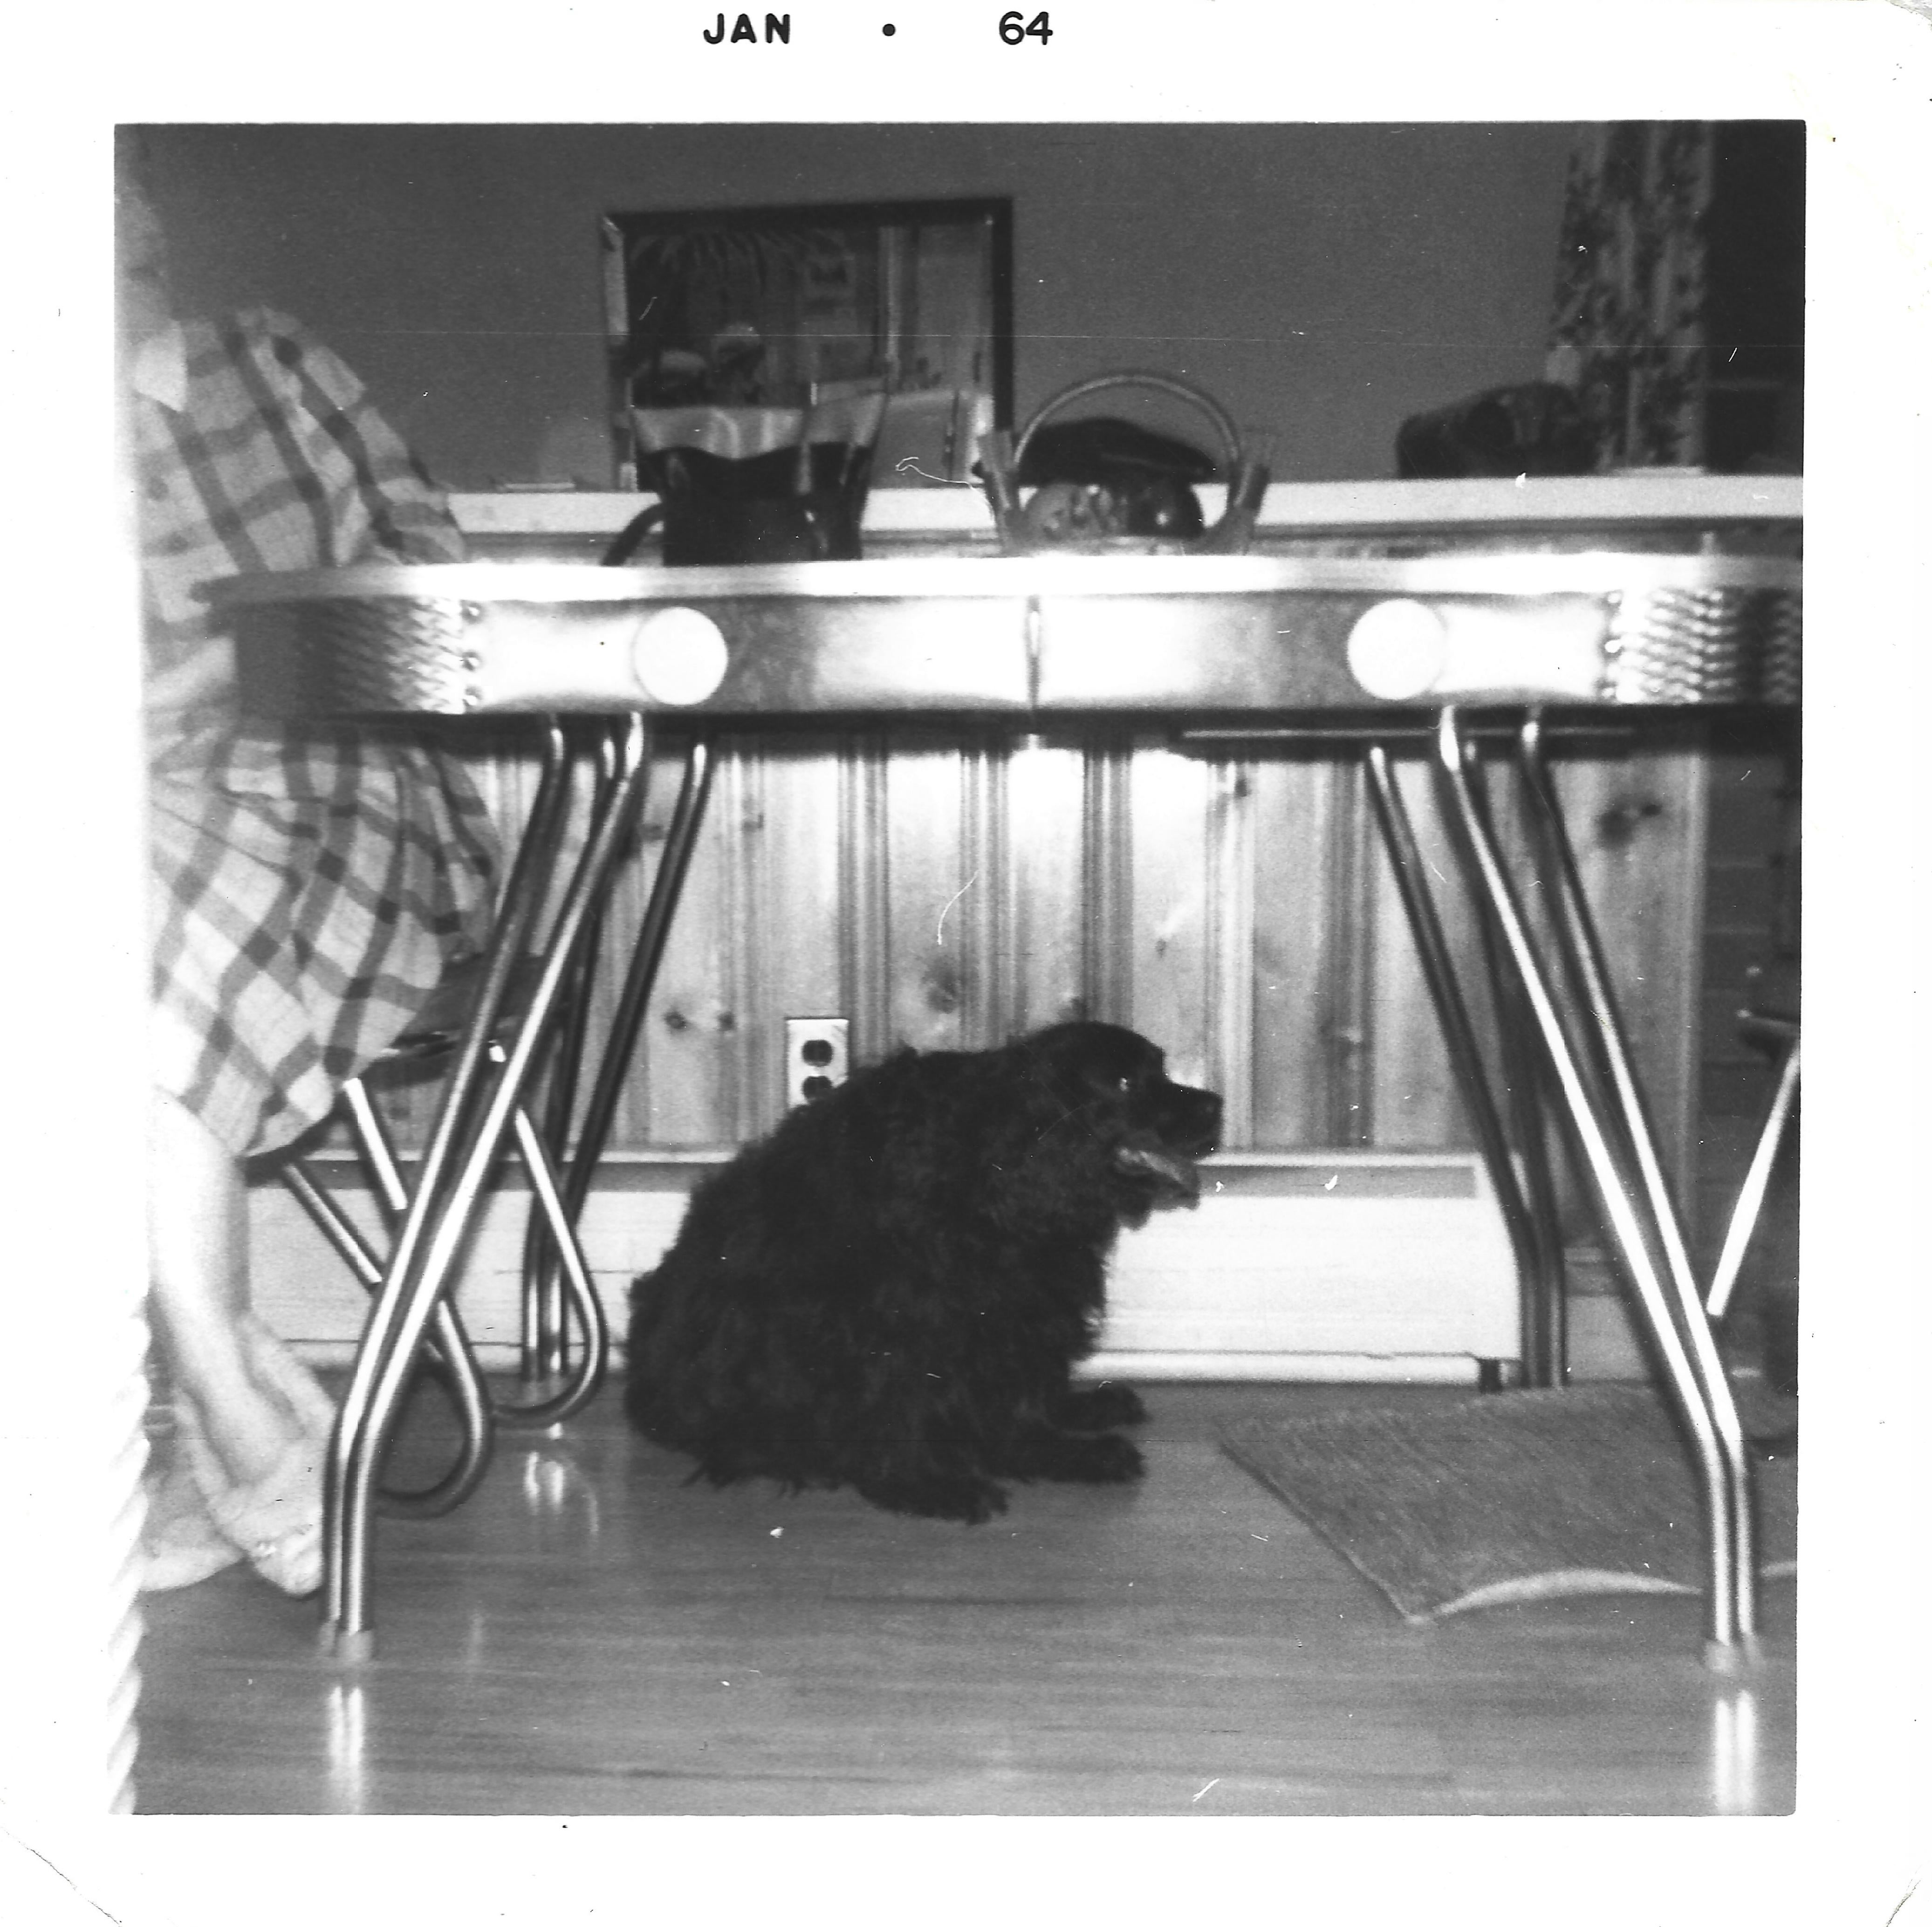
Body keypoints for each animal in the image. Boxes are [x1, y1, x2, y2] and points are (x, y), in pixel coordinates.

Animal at [624, 1022, 1222, 1522]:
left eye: (1161, 1068)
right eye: (1124, 1081)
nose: (1217, 1104)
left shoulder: (1023, 1310)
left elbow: (1023, 1399)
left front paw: (1054, 1449)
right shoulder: (900, 1320)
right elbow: (904, 1405)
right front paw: (929, 1484)